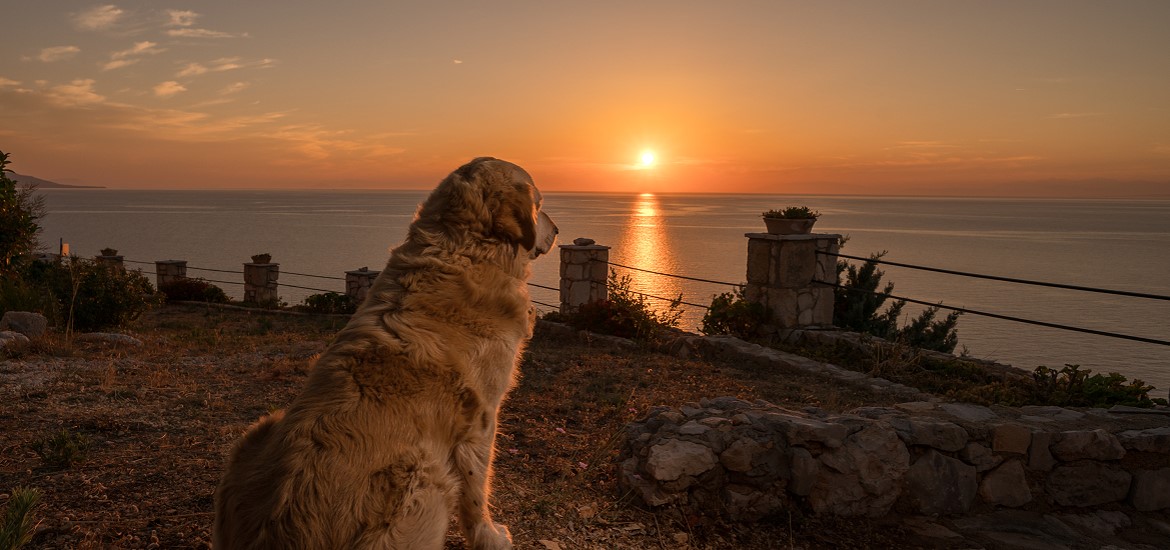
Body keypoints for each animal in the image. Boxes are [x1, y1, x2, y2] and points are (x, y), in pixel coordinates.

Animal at [216, 156, 561, 547]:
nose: (558, 230)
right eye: (539, 203)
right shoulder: (481, 419)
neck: (465, 250)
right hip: (428, 477)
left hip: (260, 430)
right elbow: (478, 492)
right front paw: (491, 537)